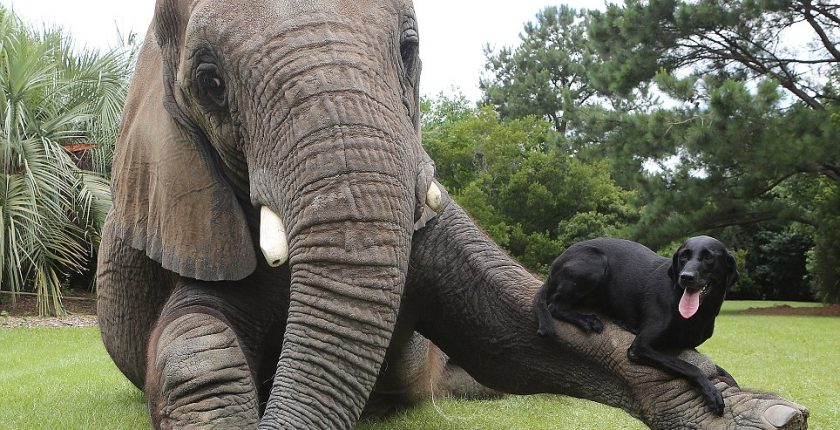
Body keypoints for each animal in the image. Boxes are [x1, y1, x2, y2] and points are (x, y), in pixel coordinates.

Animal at [536, 237, 740, 414]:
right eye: (684, 256)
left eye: (708, 257)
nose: (685, 277)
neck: (698, 313)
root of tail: (556, 264)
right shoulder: (641, 347)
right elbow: (690, 367)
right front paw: (712, 393)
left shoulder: (688, 346)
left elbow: (719, 369)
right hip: (595, 262)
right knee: (555, 305)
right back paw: (587, 321)